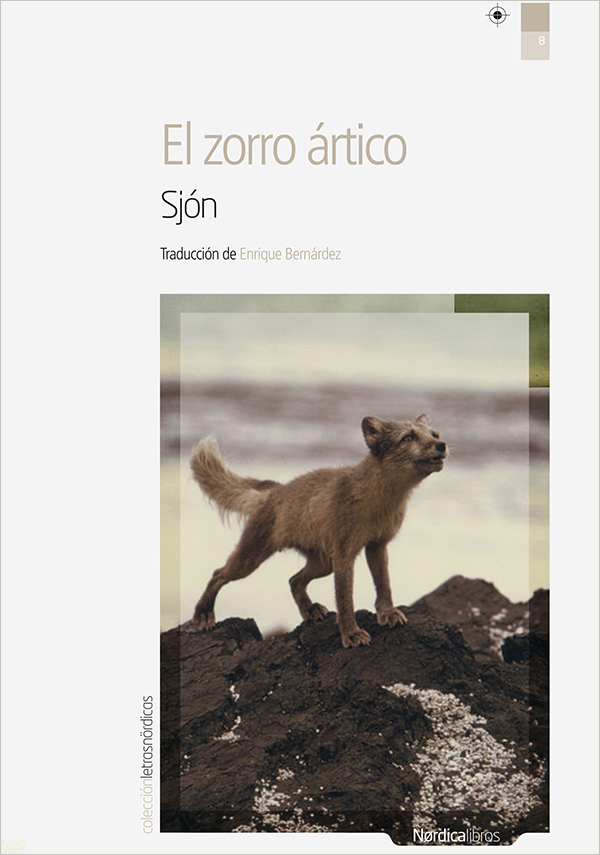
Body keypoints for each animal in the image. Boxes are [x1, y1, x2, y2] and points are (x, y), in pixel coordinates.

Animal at [189, 414, 447, 648]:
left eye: (434, 434)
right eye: (408, 437)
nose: (442, 445)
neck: (380, 500)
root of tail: (277, 489)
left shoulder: (377, 545)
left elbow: (384, 584)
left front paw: (387, 613)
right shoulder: (344, 554)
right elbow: (345, 600)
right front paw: (351, 634)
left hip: (323, 563)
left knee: (294, 580)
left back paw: (310, 609)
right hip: (251, 559)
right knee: (218, 574)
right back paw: (203, 614)